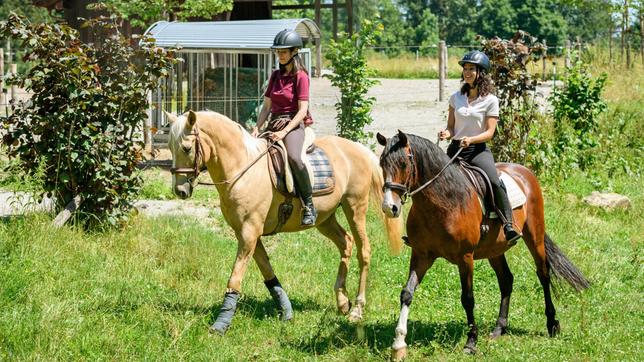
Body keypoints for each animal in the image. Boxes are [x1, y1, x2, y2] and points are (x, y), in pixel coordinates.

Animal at [165, 111, 402, 336]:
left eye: (186, 148)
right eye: (170, 147)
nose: (180, 191)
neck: (243, 169)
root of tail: (356, 148)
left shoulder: (249, 233)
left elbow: (235, 277)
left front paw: (221, 323)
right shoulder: (247, 234)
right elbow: (267, 272)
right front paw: (286, 311)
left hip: (355, 208)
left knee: (364, 251)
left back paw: (357, 310)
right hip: (325, 218)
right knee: (346, 243)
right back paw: (342, 301)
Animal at [374, 132, 592, 358]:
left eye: (403, 164)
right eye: (382, 164)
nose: (389, 207)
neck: (443, 201)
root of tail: (524, 171)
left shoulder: (465, 257)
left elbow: (468, 298)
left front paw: (471, 342)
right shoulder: (421, 254)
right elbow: (407, 293)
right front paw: (399, 343)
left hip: (535, 237)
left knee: (543, 274)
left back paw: (552, 324)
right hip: (494, 249)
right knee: (506, 280)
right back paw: (499, 328)